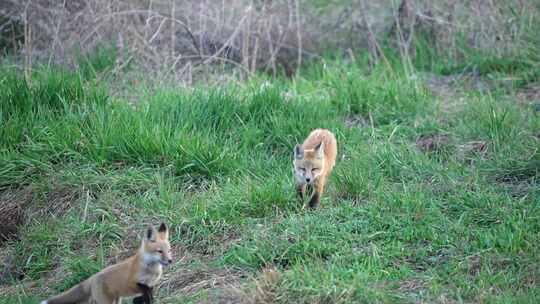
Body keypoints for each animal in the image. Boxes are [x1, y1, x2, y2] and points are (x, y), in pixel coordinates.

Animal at [42, 222, 173, 302]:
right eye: (159, 251)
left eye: (169, 250)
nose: (170, 260)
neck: (150, 270)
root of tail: (92, 277)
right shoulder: (134, 284)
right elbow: (143, 292)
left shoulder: (150, 287)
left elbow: (147, 298)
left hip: (116, 300)